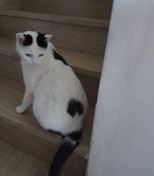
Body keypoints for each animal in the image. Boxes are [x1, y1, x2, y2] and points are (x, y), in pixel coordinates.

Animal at [15, 31, 88, 176]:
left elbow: (26, 99)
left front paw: (21, 109)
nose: (35, 62)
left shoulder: (30, 87)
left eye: (40, 55)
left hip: (39, 103)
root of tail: (77, 128)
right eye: (28, 55)